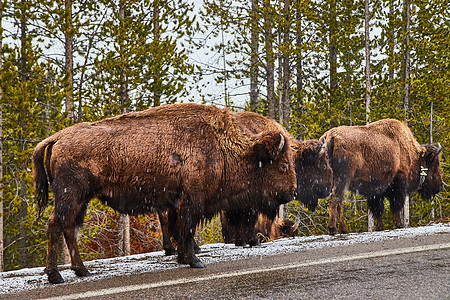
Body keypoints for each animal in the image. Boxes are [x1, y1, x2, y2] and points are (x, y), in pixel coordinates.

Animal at [33, 103, 298, 284]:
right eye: (283, 165)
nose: (292, 192)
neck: (220, 145)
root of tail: (56, 138)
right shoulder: (192, 200)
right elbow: (187, 229)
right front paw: (194, 261)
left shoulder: (178, 202)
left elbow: (180, 228)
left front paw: (182, 258)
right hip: (71, 196)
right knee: (56, 225)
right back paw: (56, 275)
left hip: (81, 200)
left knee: (69, 228)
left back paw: (82, 270)